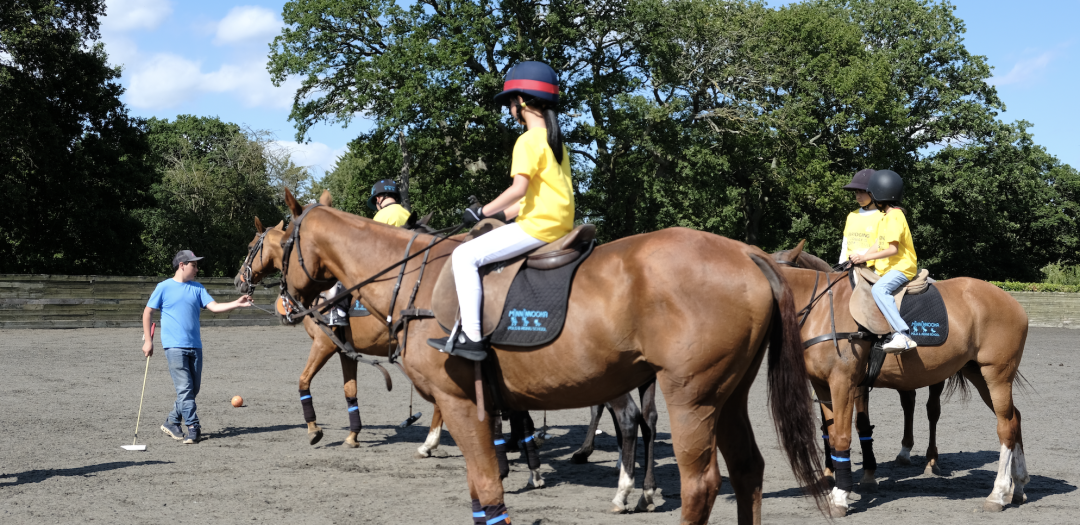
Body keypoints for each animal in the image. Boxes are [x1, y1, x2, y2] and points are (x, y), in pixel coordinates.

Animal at [274, 189, 820, 525]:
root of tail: (748, 253)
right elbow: (482, 485)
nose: (288, 304)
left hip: (692, 395)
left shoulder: (458, 400)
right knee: (746, 469)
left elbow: (487, 489)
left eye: (276, 242)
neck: (415, 279)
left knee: (699, 482)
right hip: (727, 395)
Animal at [777, 241, 1028, 516]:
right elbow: (831, 434)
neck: (821, 309)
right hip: (977, 372)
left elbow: (846, 433)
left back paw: (997, 493)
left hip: (996, 374)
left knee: (1003, 426)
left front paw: (843, 494)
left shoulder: (845, 383)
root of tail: (1013, 303)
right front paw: (833, 481)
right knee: (1014, 418)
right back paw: (1019, 486)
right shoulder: (822, 385)